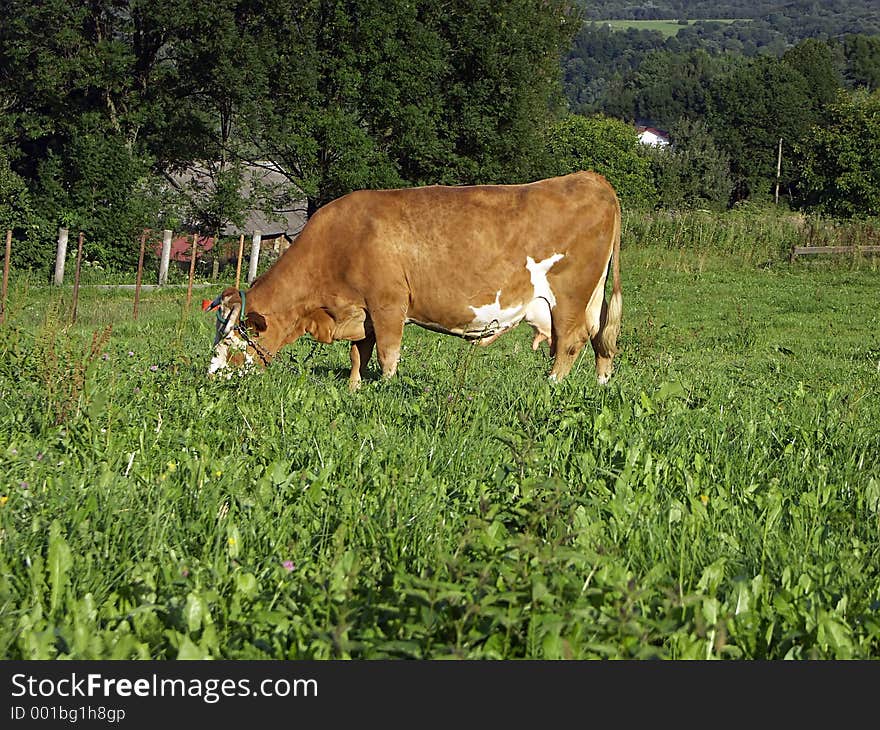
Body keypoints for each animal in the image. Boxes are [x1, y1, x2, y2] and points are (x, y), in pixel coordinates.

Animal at [203, 169, 624, 386]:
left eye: (232, 341)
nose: (211, 376)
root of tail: (590, 178)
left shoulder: (388, 304)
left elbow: (387, 354)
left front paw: (385, 390)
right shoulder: (362, 311)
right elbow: (359, 353)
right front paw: (354, 387)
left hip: (569, 295)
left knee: (570, 342)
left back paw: (552, 387)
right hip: (590, 299)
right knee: (601, 341)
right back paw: (599, 387)